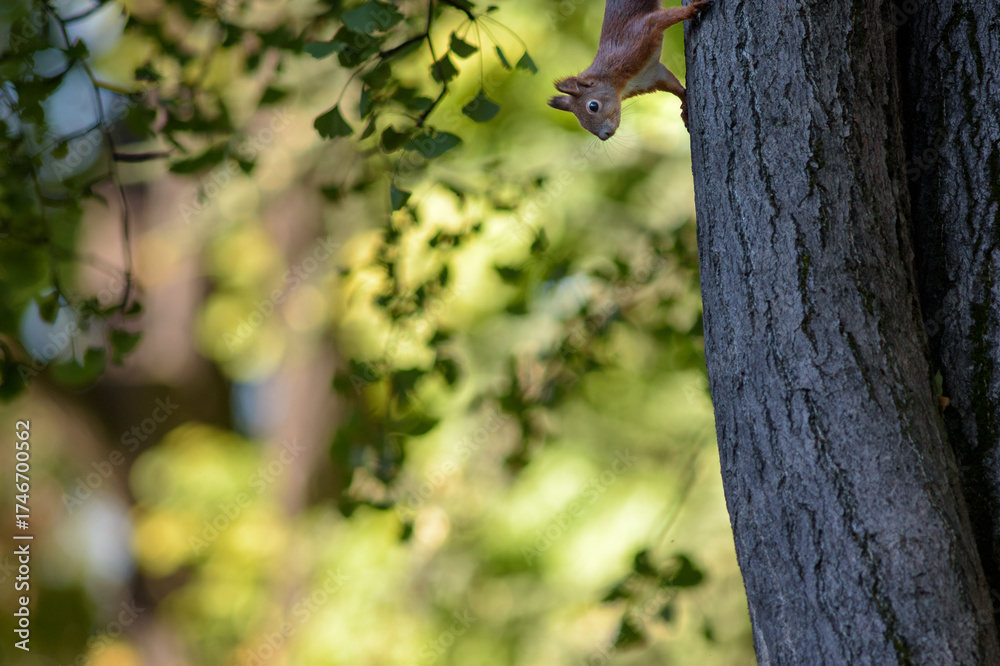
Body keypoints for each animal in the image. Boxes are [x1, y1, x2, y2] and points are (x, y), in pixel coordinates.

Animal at [548, 0, 710, 140]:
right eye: (580, 121)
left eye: (593, 106)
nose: (604, 136)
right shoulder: (653, 76)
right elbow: (674, 86)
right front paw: (685, 107)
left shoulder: (637, 34)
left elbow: (662, 17)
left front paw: (692, 8)